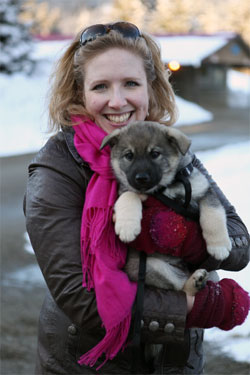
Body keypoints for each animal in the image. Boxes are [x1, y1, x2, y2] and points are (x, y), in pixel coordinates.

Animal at [100, 122, 230, 298]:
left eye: (155, 154)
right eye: (129, 155)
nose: (141, 178)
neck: (164, 188)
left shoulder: (204, 190)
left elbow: (213, 214)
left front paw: (219, 246)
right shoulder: (124, 190)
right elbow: (129, 195)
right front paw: (127, 227)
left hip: (211, 273)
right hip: (148, 267)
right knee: (180, 286)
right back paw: (194, 283)